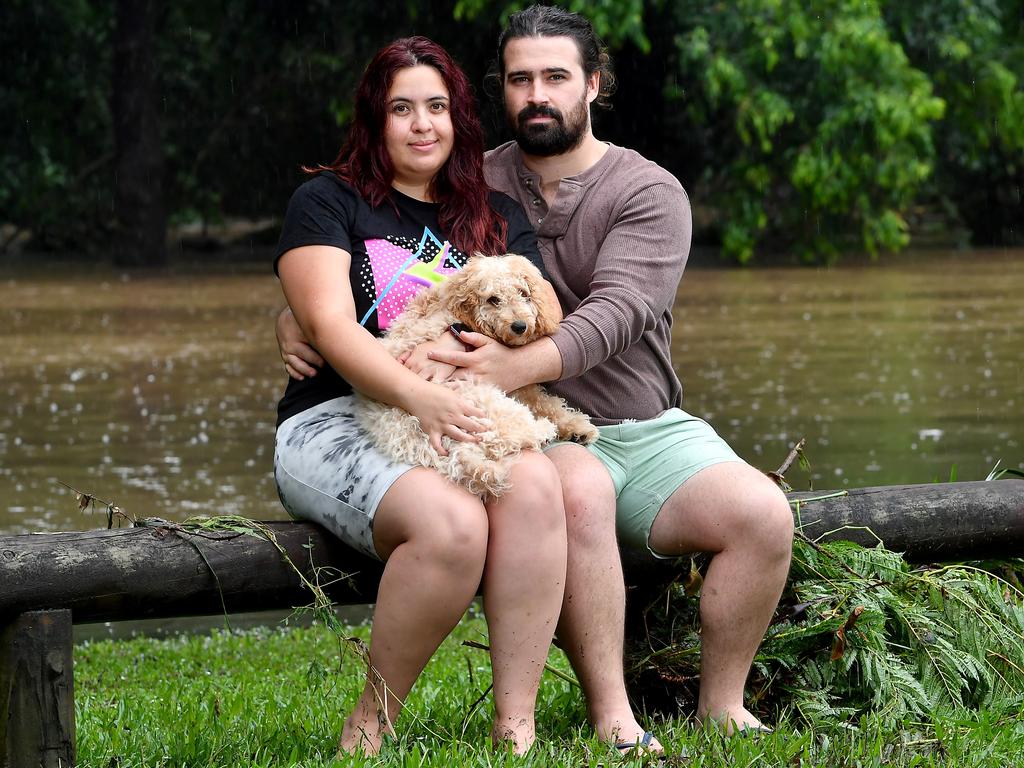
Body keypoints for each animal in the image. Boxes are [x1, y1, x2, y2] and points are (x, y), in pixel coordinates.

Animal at [358, 256, 598, 499]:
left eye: (523, 292)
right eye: (493, 299)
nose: (520, 326)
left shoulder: (518, 381)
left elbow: (548, 402)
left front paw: (577, 427)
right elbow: (544, 403)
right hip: (479, 403)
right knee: (503, 438)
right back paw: (543, 431)